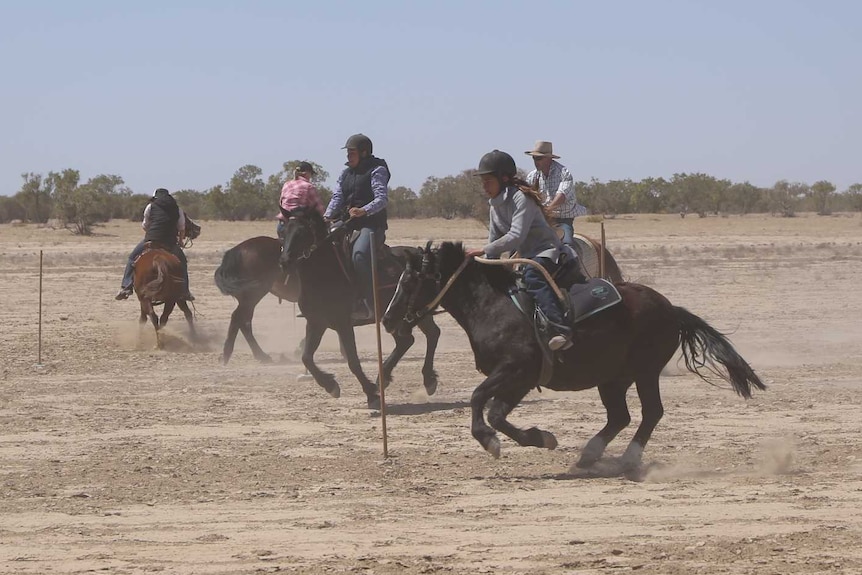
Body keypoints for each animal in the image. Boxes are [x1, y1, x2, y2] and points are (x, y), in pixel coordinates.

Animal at [382, 241, 768, 474]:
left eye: (411, 280)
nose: (387, 319)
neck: (494, 305)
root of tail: (671, 309)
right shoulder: (520, 379)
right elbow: (497, 413)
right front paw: (540, 438)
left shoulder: (515, 369)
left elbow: (480, 401)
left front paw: (491, 442)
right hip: (613, 378)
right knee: (620, 416)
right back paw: (590, 454)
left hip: (645, 372)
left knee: (650, 413)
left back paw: (628, 459)